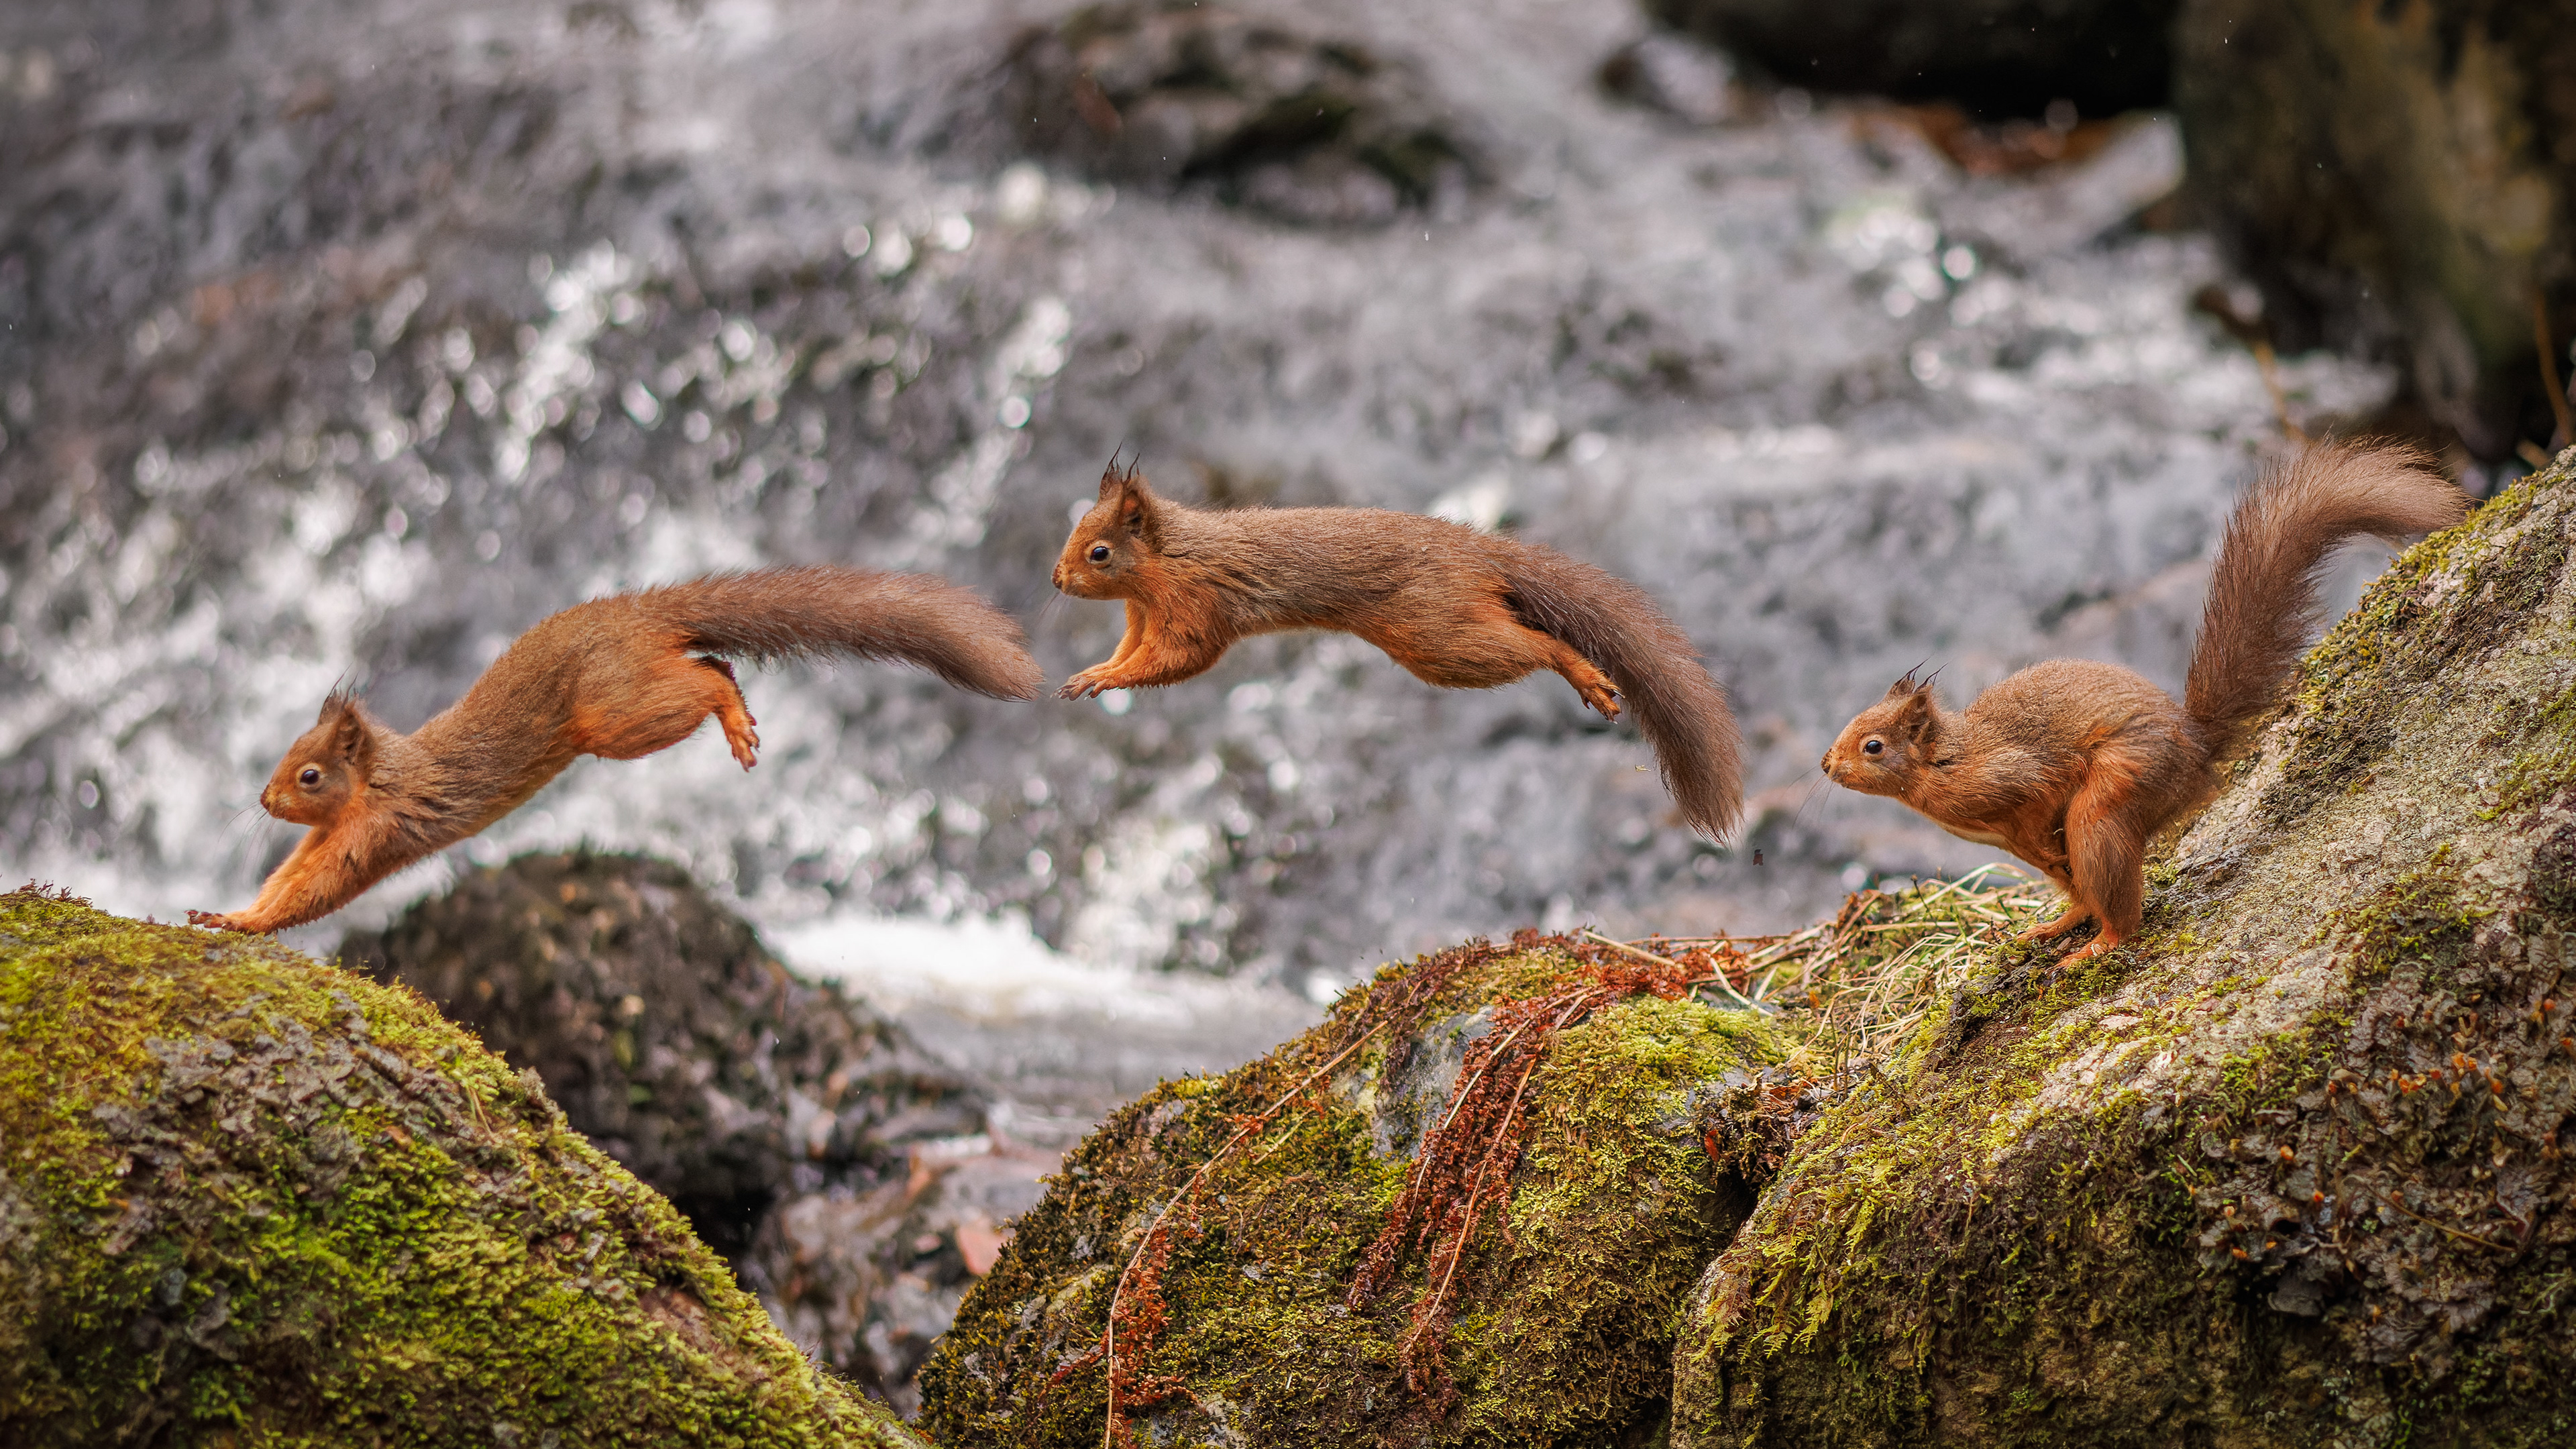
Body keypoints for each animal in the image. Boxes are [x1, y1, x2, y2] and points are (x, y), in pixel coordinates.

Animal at [189, 566, 1041, 935]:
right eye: (285, 758)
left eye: (309, 773)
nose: (264, 800)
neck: (379, 777)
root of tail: (640, 613)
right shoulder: (332, 834)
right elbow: (286, 879)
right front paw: (224, 910)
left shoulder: (373, 830)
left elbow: (316, 891)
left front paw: (243, 926)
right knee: (713, 661)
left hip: (613, 715)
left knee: (701, 681)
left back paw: (732, 716)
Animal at [1051, 460, 1745, 838]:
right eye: (1075, 530)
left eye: (1099, 552)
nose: (1056, 580)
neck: (1170, 559)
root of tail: (1478, 554)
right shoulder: (1142, 616)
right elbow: (1133, 652)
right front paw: (1096, 671)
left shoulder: (1195, 605)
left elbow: (1179, 659)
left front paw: (1102, 682)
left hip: (1439, 637)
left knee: (1538, 643)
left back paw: (1584, 675)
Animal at [1820, 441, 2469, 960]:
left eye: (1872, 746)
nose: (1827, 765)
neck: (1944, 764)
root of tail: (2197, 751)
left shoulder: (2008, 777)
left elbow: (2033, 797)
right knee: (2084, 897)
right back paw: (2055, 925)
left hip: (2111, 801)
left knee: (2114, 903)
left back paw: (2096, 947)